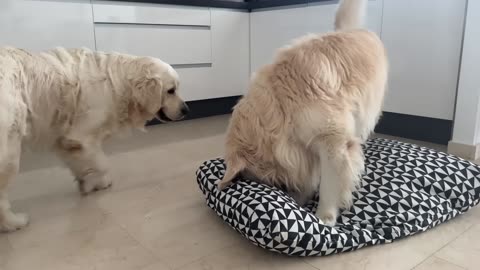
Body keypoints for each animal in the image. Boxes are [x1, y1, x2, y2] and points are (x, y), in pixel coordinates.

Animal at [0, 47, 189, 232]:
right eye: (171, 90)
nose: (186, 110)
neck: (117, 84)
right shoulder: (81, 136)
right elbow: (102, 163)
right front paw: (100, 182)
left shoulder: (68, 141)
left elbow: (82, 163)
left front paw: (86, 182)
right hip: (9, 152)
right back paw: (14, 223)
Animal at [219, 0, 388, 226]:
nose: (284, 191)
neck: (281, 106)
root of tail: (350, 29)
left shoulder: (332, 144)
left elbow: (330, 185)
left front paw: (324, 217)